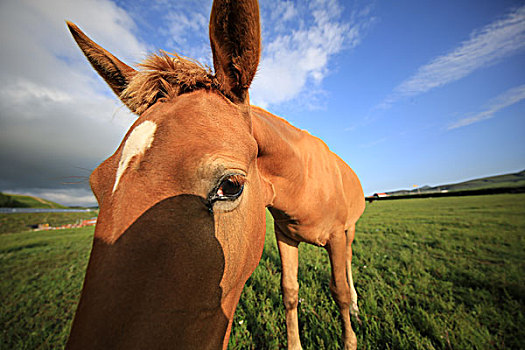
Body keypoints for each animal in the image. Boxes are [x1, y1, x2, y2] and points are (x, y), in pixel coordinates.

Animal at [65, 1, 362, 348]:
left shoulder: (336, 237)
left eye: (230, 185)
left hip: (349, 231)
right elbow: (290, 292)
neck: (303, 183)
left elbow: (339, 292)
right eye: (97, 185)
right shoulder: (285, 237)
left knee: (349, 264)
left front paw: (350, 338)